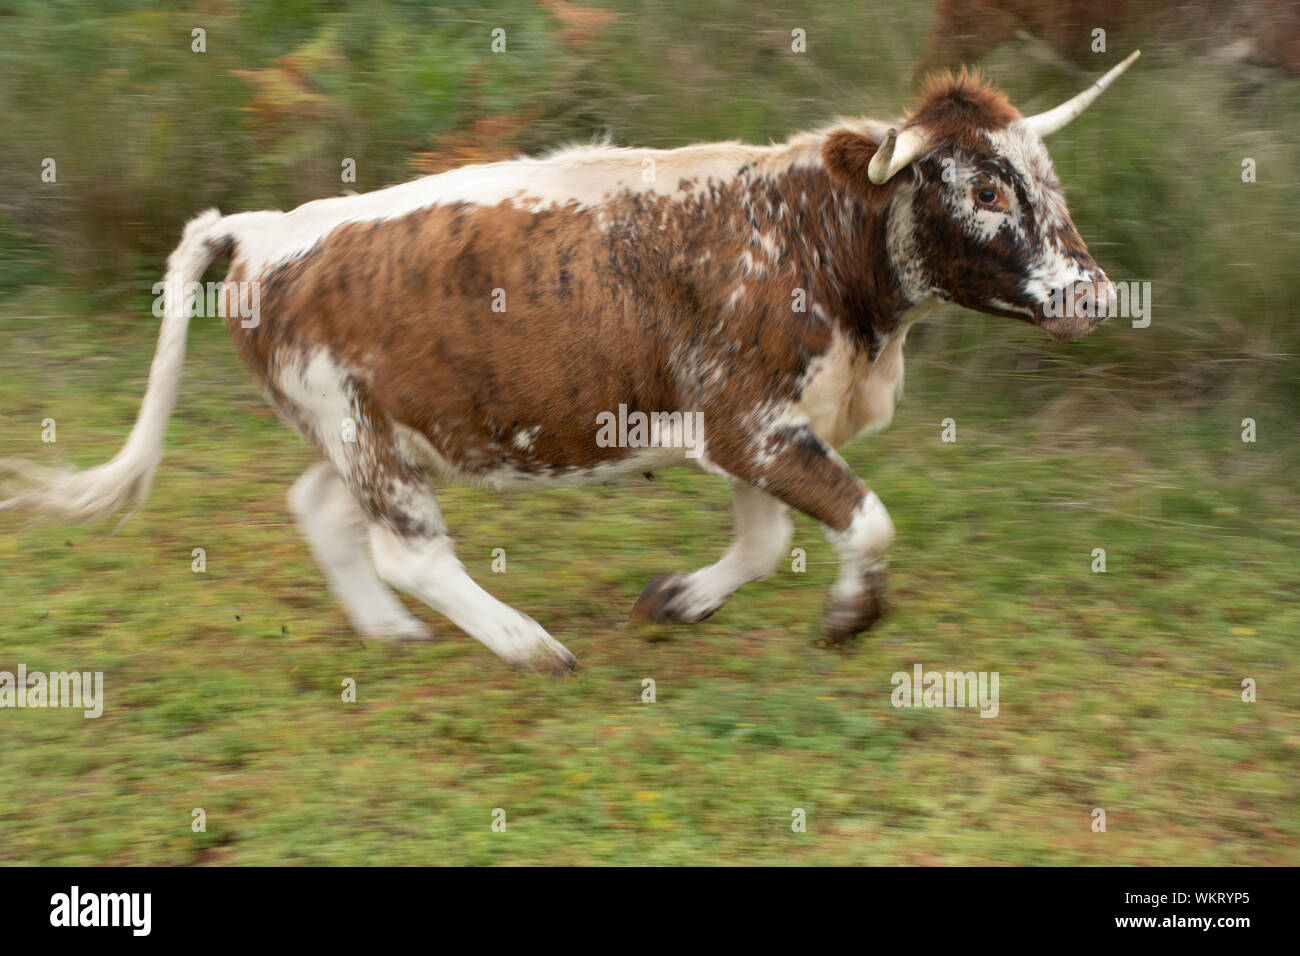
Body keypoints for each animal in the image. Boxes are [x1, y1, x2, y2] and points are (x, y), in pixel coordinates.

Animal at [0, 54, 1138, 671]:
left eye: (1046, 179)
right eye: (984, 191)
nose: (1092, 293)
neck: (810, 235)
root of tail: (266, 226)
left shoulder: (757, 430)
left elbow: (767, 541)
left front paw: (681, 598)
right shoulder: (750, 424)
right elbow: (864, 519)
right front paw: (852, 616)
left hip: (365, 432)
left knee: (322, 513)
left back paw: (393, 634)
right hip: (365, 434)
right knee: (408, 551)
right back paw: (526, 643)